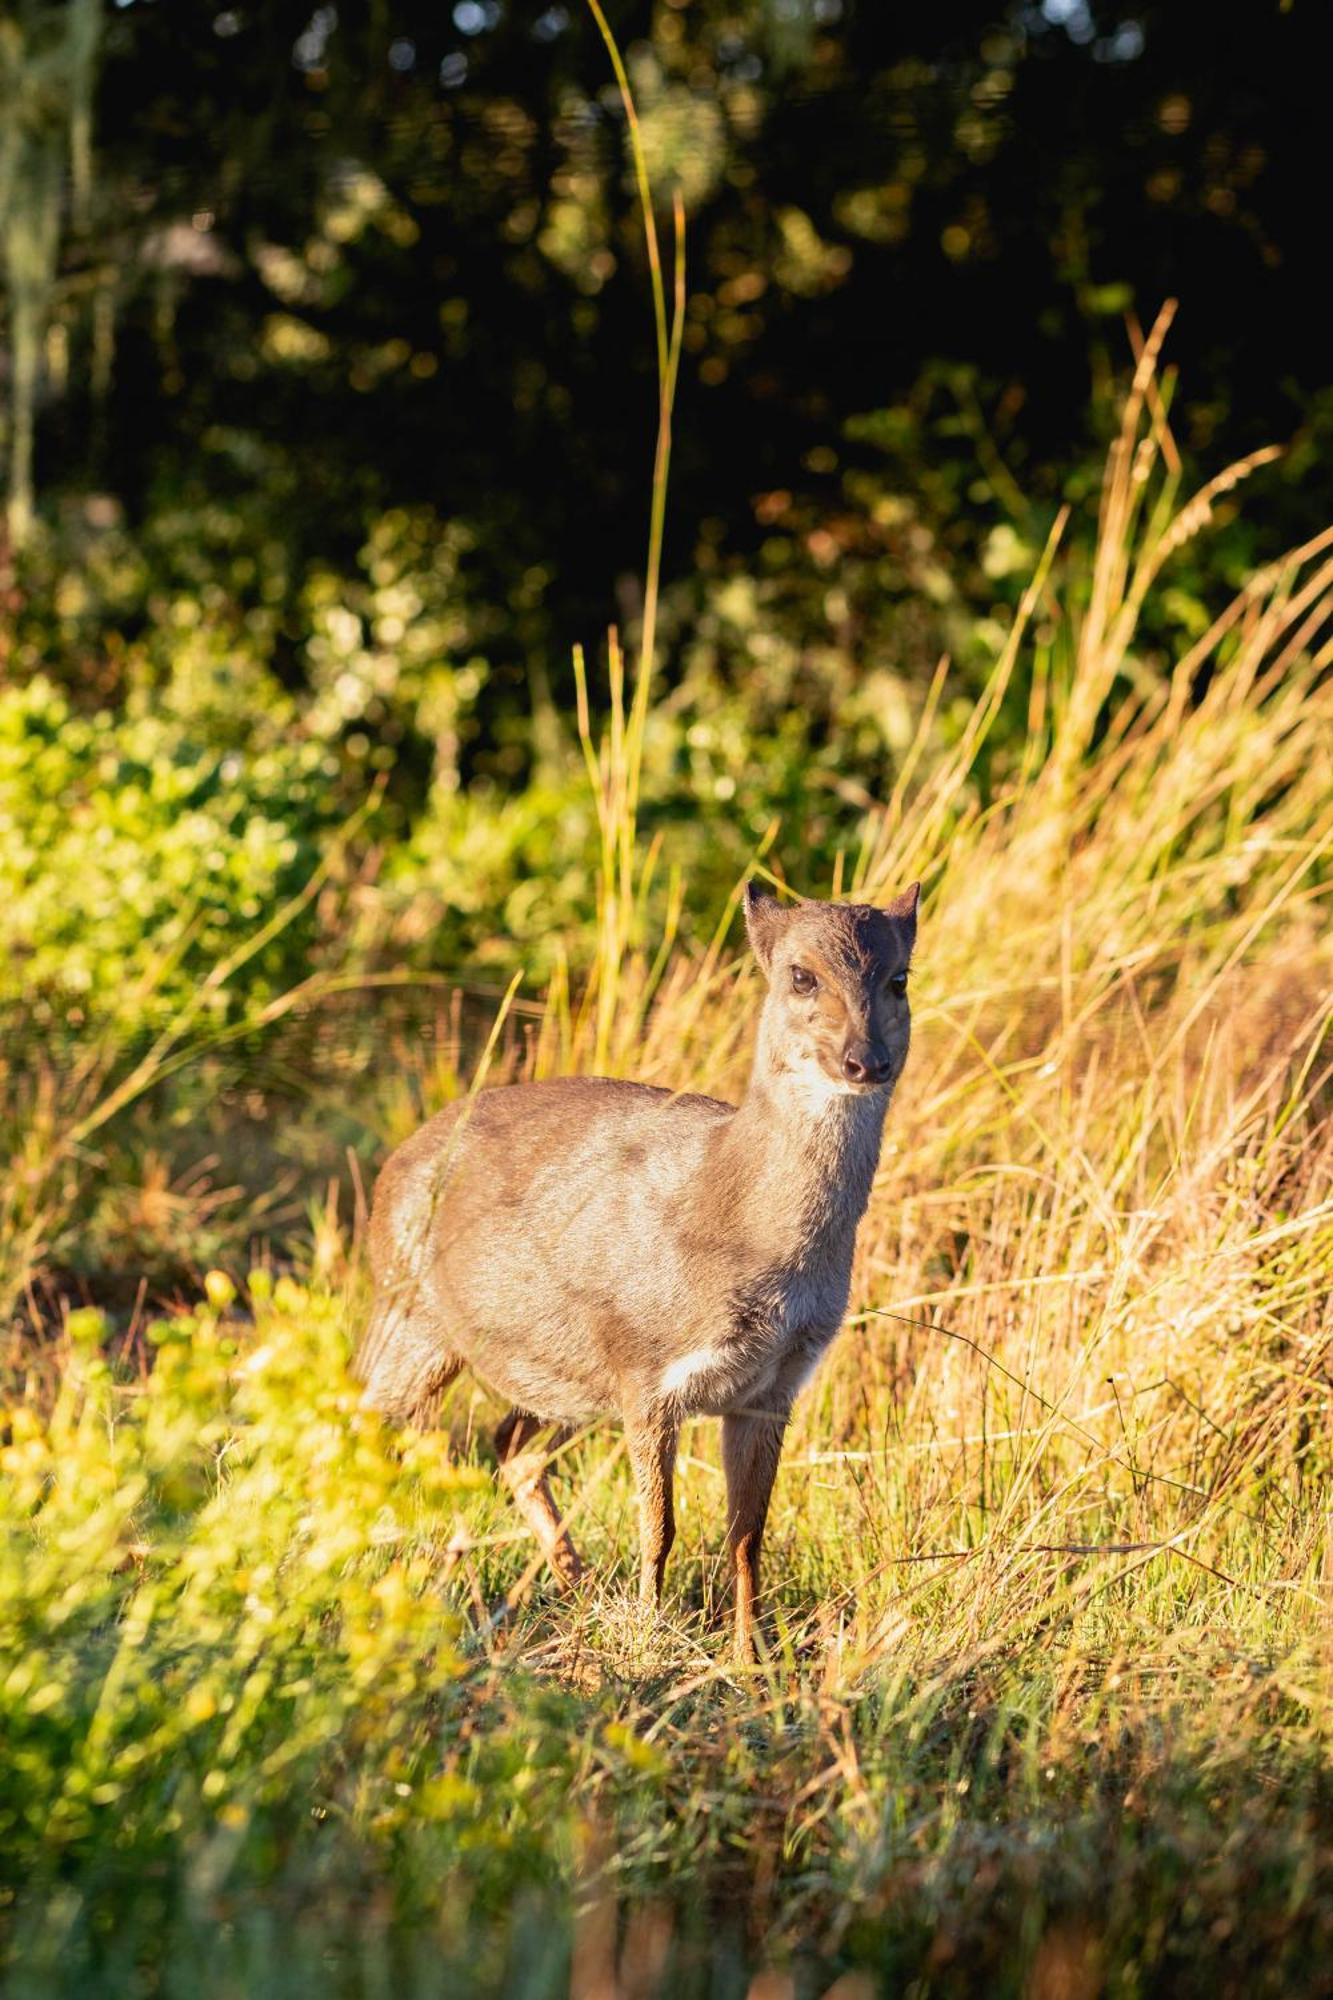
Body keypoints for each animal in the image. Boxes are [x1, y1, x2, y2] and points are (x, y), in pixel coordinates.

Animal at [352, 880, 912, 1656]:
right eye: (801, 976)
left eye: (899, 979)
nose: (866, 1061)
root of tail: (390, 1168)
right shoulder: (646, 1372)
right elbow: (661, 1528)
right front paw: (649, 1641)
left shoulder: (771, 1388)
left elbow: (746, 1536)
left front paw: (754, 1659)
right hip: (416, 1321)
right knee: (360, 1423)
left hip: (559, 1374)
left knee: (510, 1445)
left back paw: (577, 1587)